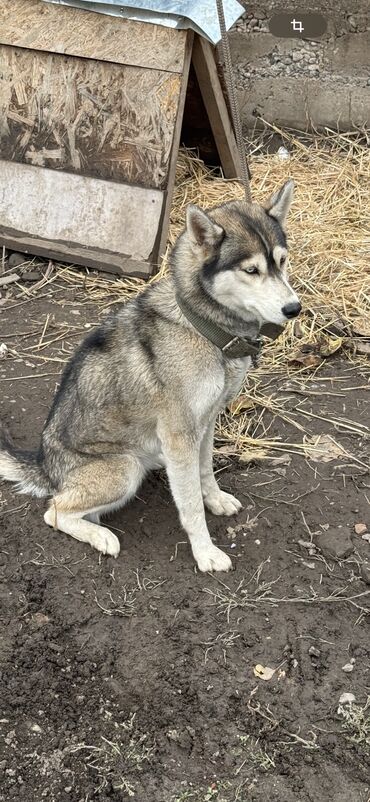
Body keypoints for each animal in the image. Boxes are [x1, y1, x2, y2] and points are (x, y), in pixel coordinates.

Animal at [0, 181, 300, 568]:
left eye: (282, 261)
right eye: (251, 271)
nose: (294, 308)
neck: (203, 327)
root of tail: (45, 465)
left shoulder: (205, 424)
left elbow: (205, 470)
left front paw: (215, 499)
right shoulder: (179, 435)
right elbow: (190, 505)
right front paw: (205, 553)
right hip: (124, 469)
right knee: (55, 511)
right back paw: (101, 537)